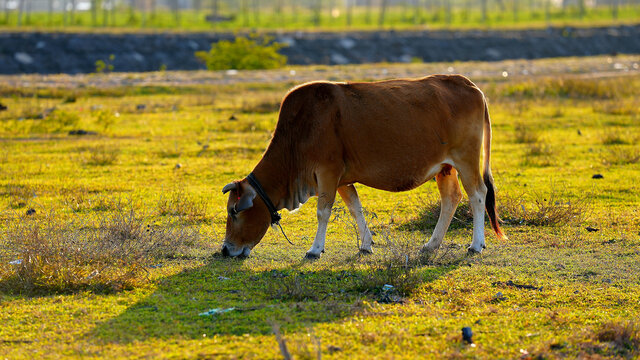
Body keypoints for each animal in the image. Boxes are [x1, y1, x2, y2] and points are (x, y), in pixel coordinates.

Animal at [222, 74, 508, 258]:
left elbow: (323, 212)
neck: (299, 131)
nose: (225, 249)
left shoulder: (327, 172)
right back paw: (431, 244)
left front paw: (315, 249)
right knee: (451, 198)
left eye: (234, 212)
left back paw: (476, 244)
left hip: (466, 159)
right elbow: (354, 208)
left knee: (478, 195)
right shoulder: (343, 179)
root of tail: (469, 84)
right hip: (445, 167)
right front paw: (366, 244)